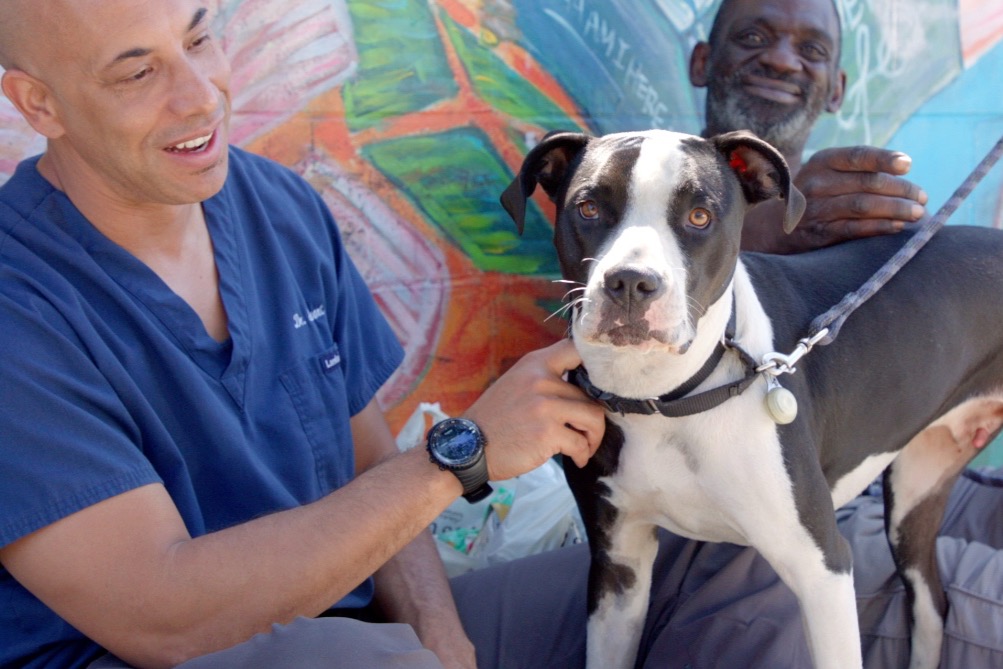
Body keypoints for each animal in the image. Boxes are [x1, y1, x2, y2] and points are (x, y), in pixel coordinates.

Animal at [505, 129, 1003, 669]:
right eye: (589, 207)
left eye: (700, 216)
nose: (632, 283)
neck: (666, 397)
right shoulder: (618, 565)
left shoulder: (822, 567)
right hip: (915, 497)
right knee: (932, 607)